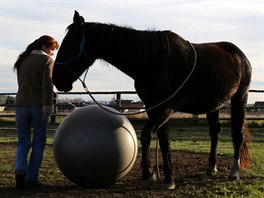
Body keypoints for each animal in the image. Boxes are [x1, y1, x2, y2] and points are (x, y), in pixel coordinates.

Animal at [52, 10, 252, 189]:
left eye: (70, 43)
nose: (57, 80)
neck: (150, 60)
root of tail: (240, 55)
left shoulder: (166, 107)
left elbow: (147, 135)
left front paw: (148, 174)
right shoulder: (153, 106)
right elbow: (164, 141)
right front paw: (168, 178)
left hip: (239, 99)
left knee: (238, 134)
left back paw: (234, 172)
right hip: (213, 105)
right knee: (215, 132)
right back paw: (212, 167)